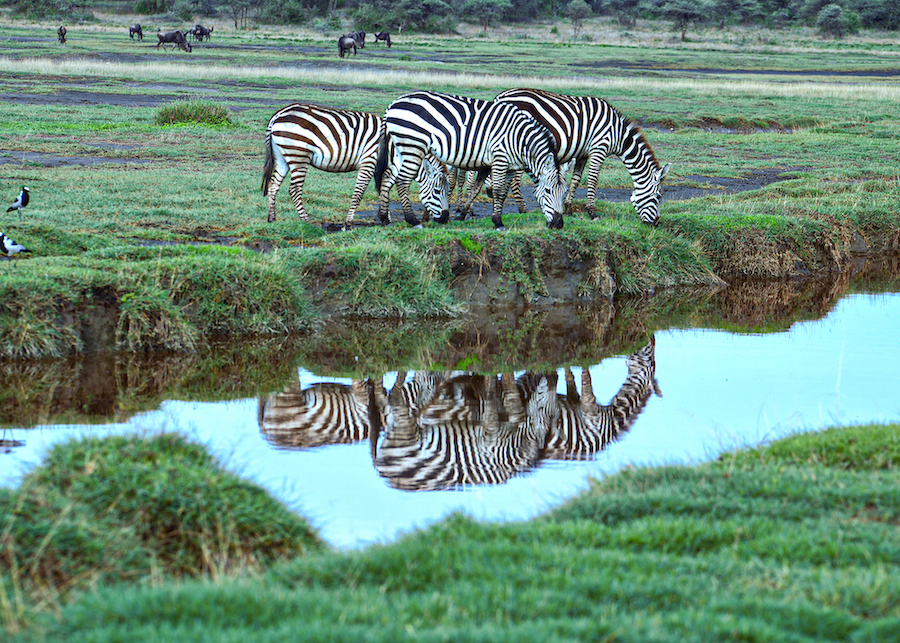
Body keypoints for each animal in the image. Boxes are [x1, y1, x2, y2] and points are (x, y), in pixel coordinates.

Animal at [262, 103, 449, 227]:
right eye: (437, 191)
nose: (445, 219)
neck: (395, 147)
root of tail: (277, 114)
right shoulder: (369, 161)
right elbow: (360, 192)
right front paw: (350, 223)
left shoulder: (390, 167)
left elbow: (384, 189)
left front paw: (386, 218)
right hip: (299, 155)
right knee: (294, 189)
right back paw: (308, 222)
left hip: (283, 157)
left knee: (273, 185)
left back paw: (272, 219)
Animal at [373, 90, 568, 230]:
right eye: (548, 191)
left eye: (564, 193)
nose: (558, 224)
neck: (520, 141)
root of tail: (393, 104)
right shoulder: (500, 158)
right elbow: (498, 191)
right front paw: (498, 222)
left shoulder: (506, 167)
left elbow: (481, 190)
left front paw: (462, 215)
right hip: (413, 146)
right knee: (402, 181)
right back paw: (412, 220)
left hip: (401, 148)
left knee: (388, 178)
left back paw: (383, 218)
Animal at [489, 88, 671, 226]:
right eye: (658, 197)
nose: (656, 223)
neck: (618, 134)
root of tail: (500, 97)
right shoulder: (599, 149)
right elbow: (593, 180)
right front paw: (592, 213)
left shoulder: (582, 153)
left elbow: (576, 180)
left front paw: (568, 209)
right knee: (514, 180)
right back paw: (523, 210)